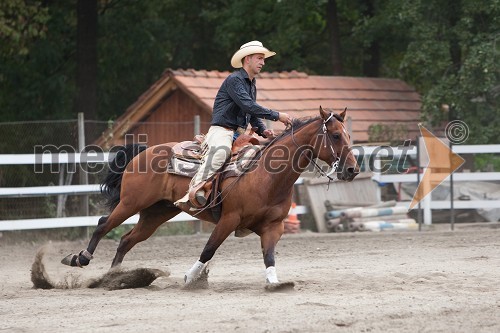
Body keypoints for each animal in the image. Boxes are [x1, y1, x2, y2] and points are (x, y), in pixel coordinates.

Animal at [61, 105, 360, 286]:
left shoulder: (273, 227)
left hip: (157, 213)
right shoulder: (229, 219)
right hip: (131, 202)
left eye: (348, 135)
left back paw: (115, 277)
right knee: (103, 225)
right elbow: (208, 248)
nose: (352, 170)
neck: (267, 177)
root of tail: (144, 151)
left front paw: (275, 283)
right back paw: (80, 259)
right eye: (335, 135)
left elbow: (269, 256)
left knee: (126, 240)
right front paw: (190, 278)